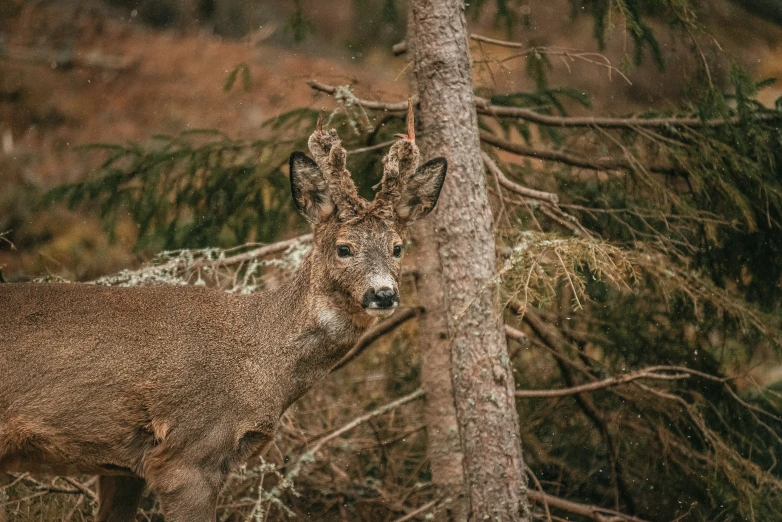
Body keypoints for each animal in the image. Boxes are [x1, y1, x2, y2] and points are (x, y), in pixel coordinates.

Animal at [0, 106, 448, 520]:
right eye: (344, 248)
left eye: (397, 247)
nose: (383, 294)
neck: (261, 360)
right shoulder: (187, 453)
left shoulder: (123, 466)